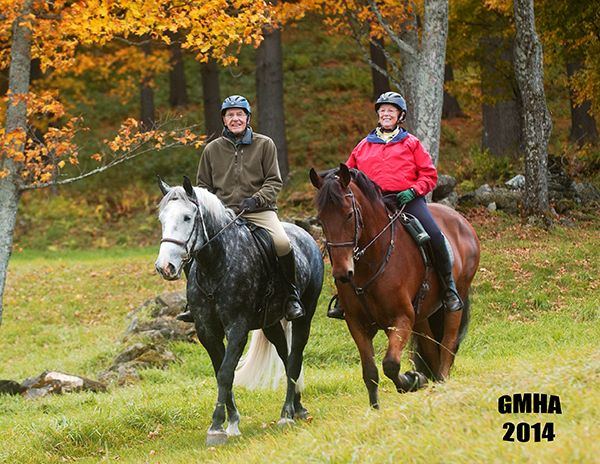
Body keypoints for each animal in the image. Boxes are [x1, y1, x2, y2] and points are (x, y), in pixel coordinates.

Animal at [312, 165, 480, 408]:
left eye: (349, 214)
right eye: (321, 218)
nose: (342, 273)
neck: (371, 262)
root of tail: (461, 219)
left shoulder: (400, 319)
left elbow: (390, 364)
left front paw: (412, 381)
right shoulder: (357, 324)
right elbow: (370, 372)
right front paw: (375, 408)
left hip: (457, 296)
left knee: (447, 343)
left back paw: (440, 382)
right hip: (421, 315)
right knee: (431, 348)